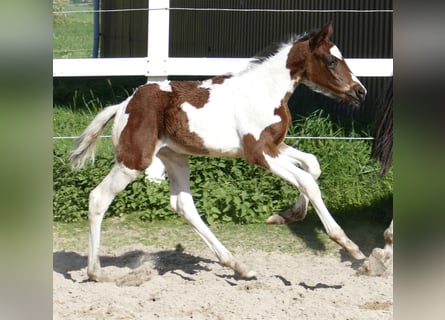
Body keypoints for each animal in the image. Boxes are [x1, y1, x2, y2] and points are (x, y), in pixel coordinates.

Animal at [71, 23, 366, 280]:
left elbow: (312, 165)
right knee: (98, 198)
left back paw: (238, 265)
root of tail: (123, 105)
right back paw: (95, 272)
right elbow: (307, 180)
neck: (264, 92)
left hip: (175, 157)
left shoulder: (275, 146)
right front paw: (349, 246)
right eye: (331, 61)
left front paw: (286, 215)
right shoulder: (259, 152)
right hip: (133, 161)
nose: (360, 92)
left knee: (183, 205)